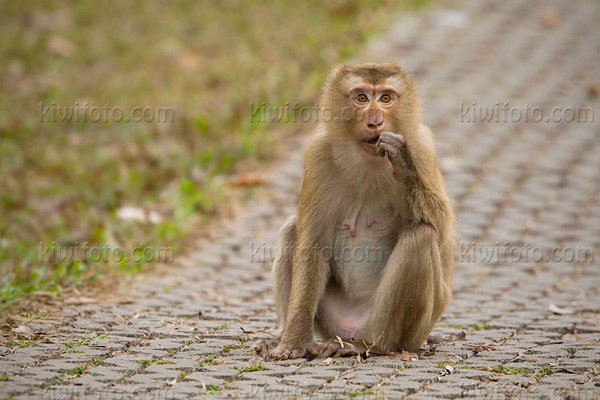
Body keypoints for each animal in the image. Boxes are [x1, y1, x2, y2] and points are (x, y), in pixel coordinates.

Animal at [254, 62, 454, 360]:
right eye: (361, 98)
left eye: (385, 98)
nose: (375, 121)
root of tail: (352, 328)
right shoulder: (318, 154)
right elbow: (312, 246)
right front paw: (293, 342)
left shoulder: (421, 147)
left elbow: (441, 231)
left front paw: (404, 164)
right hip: (331, 322)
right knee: (292, 228)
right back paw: (283, 336)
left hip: (412, 330)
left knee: (421, 236)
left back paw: (372, 345)